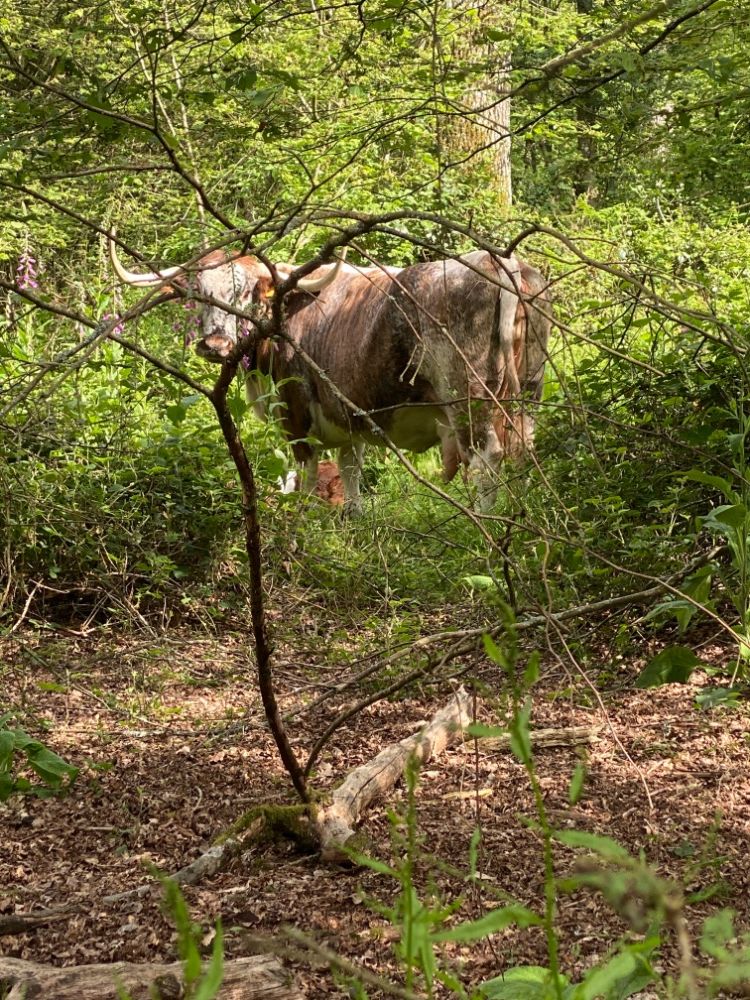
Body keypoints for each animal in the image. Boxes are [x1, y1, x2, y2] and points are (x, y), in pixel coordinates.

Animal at [109, 235, 551, 513]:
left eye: (248, 292)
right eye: (200, 293)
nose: (214, 344)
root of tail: (498, 259)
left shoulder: (296, 414)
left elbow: (305, 477)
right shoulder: (348, 416)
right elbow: (350, 471)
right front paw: (353, 520)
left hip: (469, 399)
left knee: (488, 458)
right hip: (528, 392)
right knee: (523, 453)